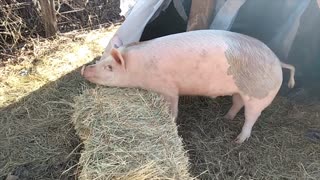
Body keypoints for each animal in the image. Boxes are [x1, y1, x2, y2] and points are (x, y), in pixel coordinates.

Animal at [81, 29, 296, 143]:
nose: (84, 69)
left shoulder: (168, 87)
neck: (139, 67)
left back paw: (238, 140)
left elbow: (173, 107)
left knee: (252, 117)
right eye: (101, 59)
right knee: (237, 103)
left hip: (259, 95)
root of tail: (278, 61)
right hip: (240, 90)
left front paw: (172, 121)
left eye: (109, 67)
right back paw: (226, 118)